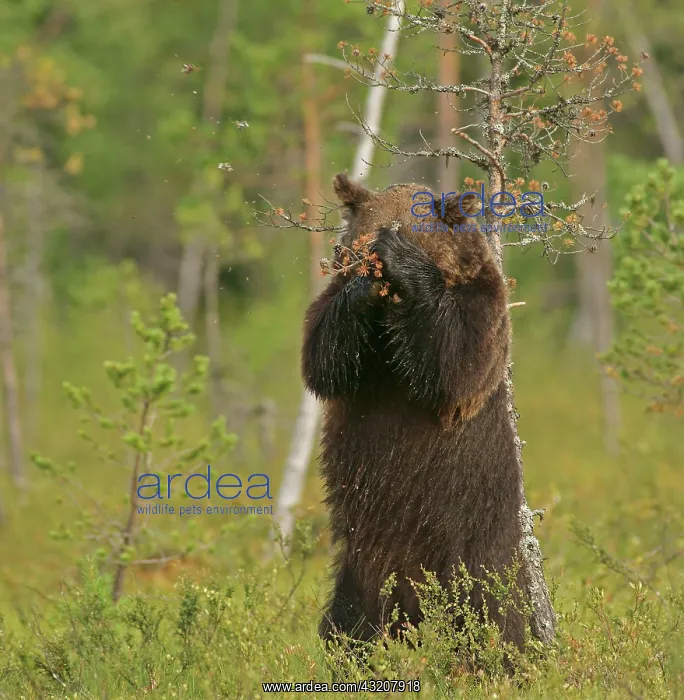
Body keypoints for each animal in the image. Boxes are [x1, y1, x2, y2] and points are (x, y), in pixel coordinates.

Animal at [302, 173, 527, 652]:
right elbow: (324, 356)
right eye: (363, 235)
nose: (374, 258)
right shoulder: (344, 332)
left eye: (408, 229)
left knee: (493, 611)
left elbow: (457, 360)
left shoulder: (482, 304)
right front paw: (363, 284)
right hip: (363, 564)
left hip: (473, 540)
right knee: (350, 618)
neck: (393, 312)